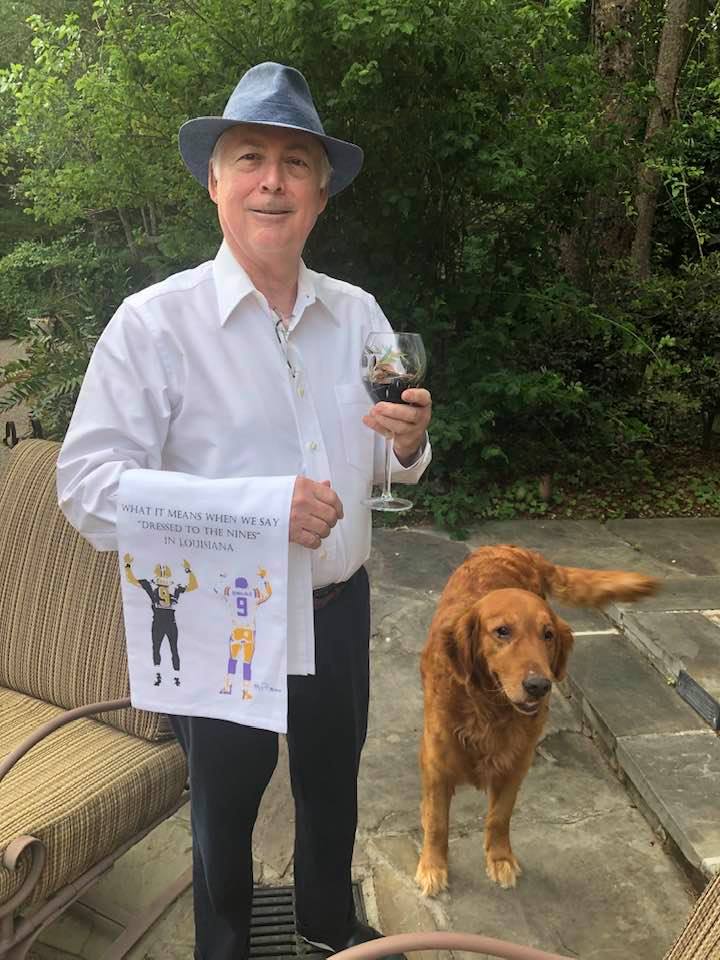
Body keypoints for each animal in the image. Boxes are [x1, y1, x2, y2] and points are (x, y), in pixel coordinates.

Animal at [415, 544, 658, 896]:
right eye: (502, 632)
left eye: (548, 635)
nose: (539, 686)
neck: (487, 709)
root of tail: (515, 548)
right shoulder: (437, 764)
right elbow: (436, 822)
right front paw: (432, 867)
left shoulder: (516, 763)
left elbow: (499, 816)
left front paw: (500, 859)